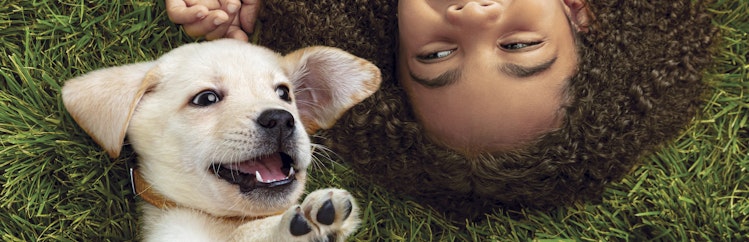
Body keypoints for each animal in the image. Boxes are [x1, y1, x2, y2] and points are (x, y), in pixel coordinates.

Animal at [61, 38, 380, 241]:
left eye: (284, 93)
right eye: (206, 98)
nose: (281, 119)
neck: (224, 222)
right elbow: (244, 236)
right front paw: (287, 227)